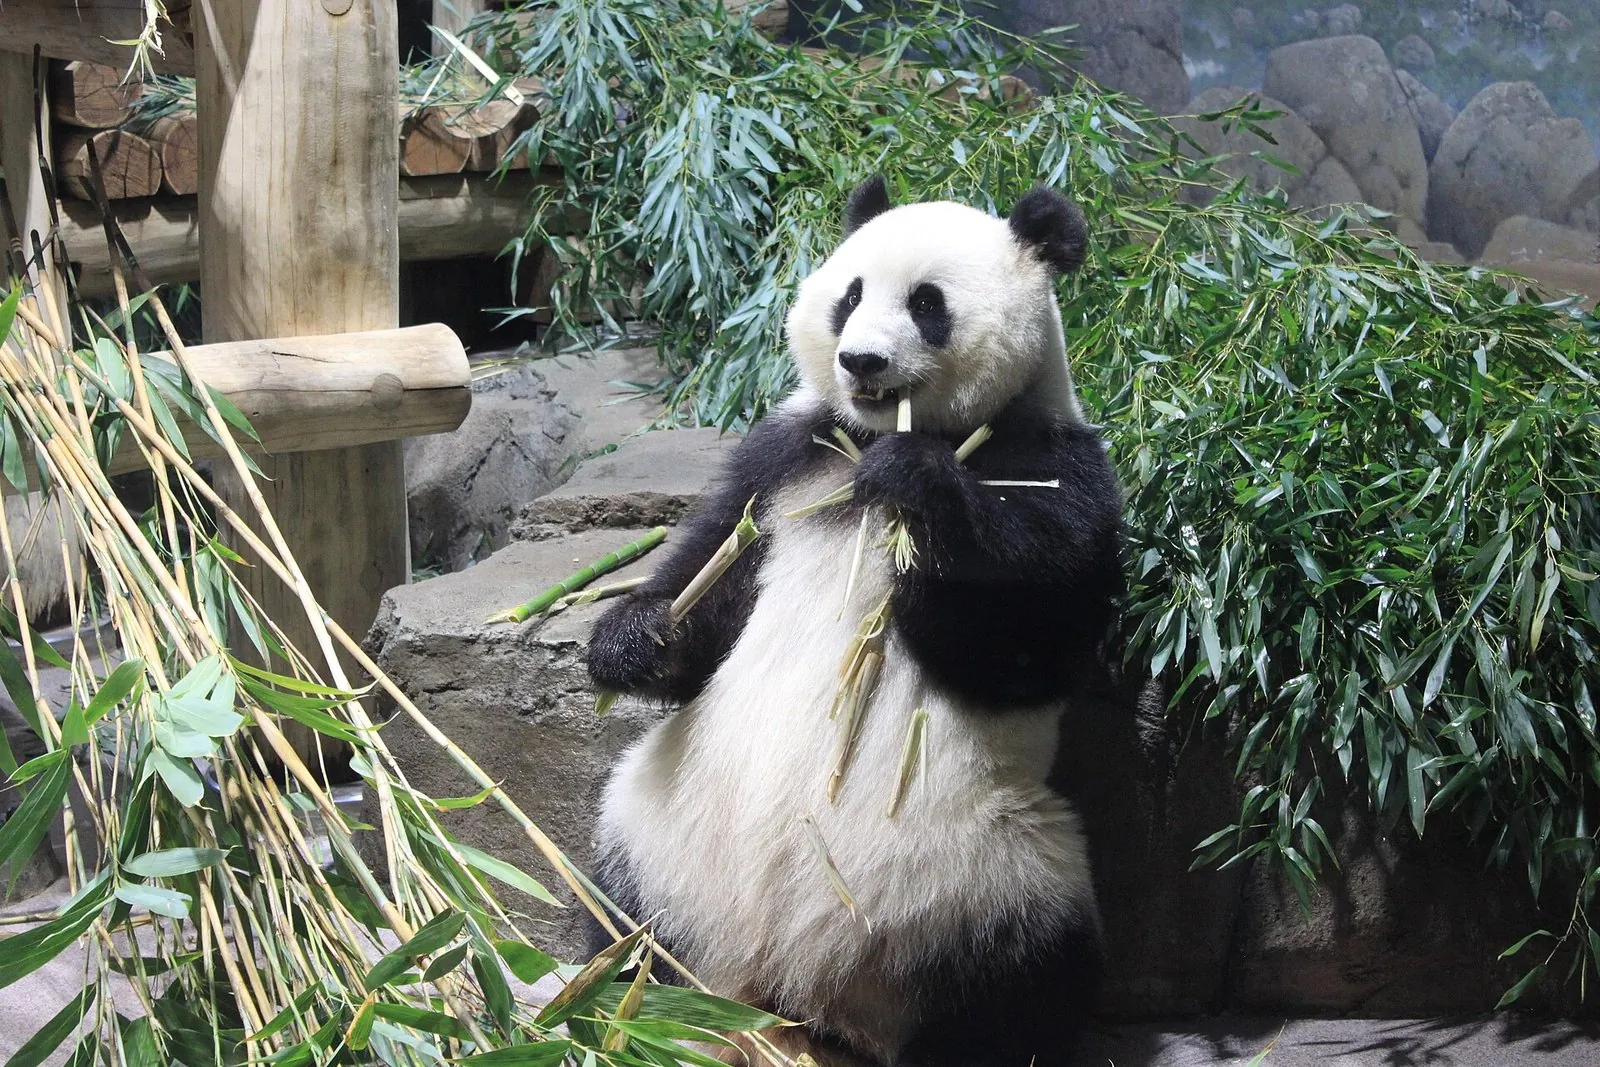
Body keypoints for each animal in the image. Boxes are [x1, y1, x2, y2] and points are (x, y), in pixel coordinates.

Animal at [585, 176, 1123, 1067]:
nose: (862, 361)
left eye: (927, 304)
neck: (874, 437)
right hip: (654, 830)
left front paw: (917, 496)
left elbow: (1027, 646)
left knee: (1025, 976)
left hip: (988, 873)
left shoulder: (1062, 473)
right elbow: (714, 578)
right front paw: (633, 639)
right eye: (850, 296)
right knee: (618, 911)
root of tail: (783, 984)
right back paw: (616, 1005)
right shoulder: (787, 459)